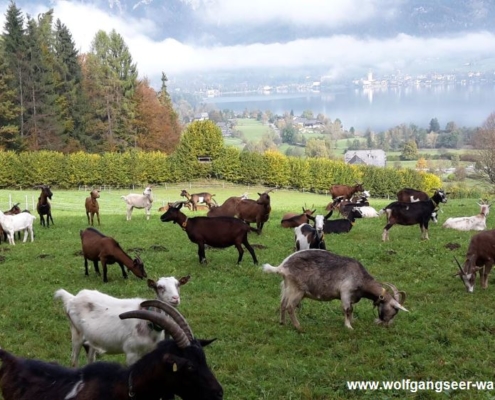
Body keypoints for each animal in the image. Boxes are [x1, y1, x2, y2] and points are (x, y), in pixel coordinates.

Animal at [54, 276, 190, 366]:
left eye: (178, 284)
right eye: (160, 287)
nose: (175, 298)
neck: (148, 323)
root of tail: (72, 298)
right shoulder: (131, 352)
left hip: (92, 338)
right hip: (76, 332)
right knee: (73, 359)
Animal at [262, 250, 408, 332]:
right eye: (395, 310)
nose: (386, 325)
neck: (361, 278)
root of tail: (282, 267)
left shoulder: (351, 297)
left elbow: (351, 310)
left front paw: (352, 321)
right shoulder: (345, 292)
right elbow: (347, 309)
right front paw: (349, 327)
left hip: (287, 287)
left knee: (282, 304)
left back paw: (283, 323)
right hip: (297, 290)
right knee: (290, 307)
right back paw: (299, 327)